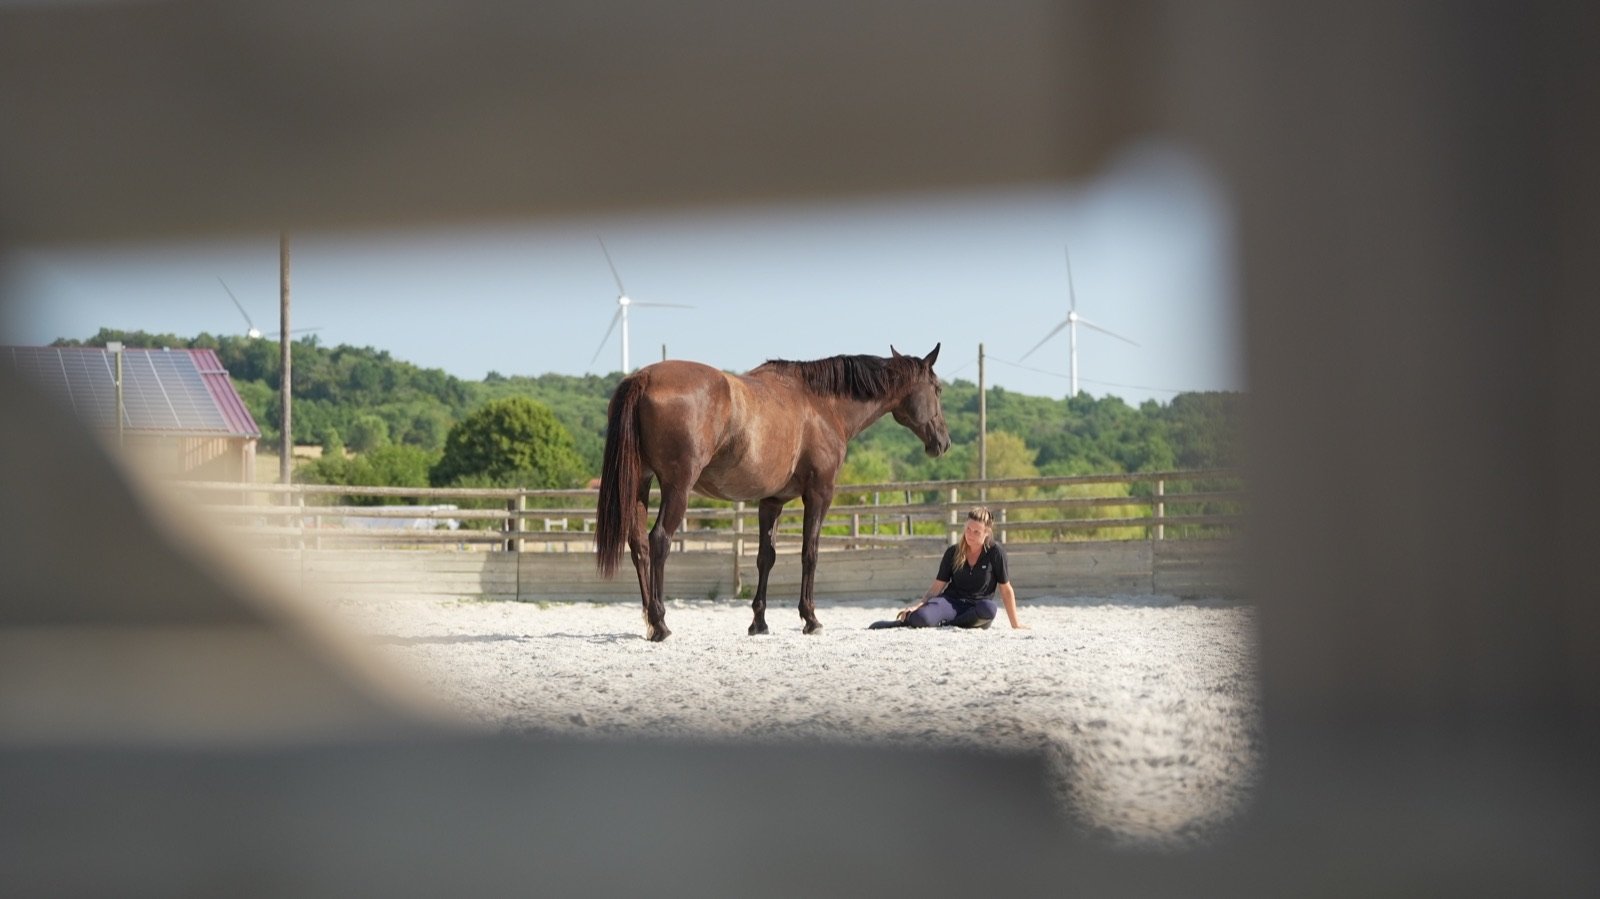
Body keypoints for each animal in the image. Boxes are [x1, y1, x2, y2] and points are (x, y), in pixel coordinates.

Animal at [595, 344, 950, 641]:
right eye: (937, 389)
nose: (943, 442)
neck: (822, 406)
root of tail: (642, 378)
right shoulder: (819, 494)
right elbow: (810, 552)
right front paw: (811, 619)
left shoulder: (772, 501)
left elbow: (766, 557)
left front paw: (759, 623)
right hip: (677, 488)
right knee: (659, 541)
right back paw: (660, 623)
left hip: (640, 483)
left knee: (639, 545)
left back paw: (648, 620)